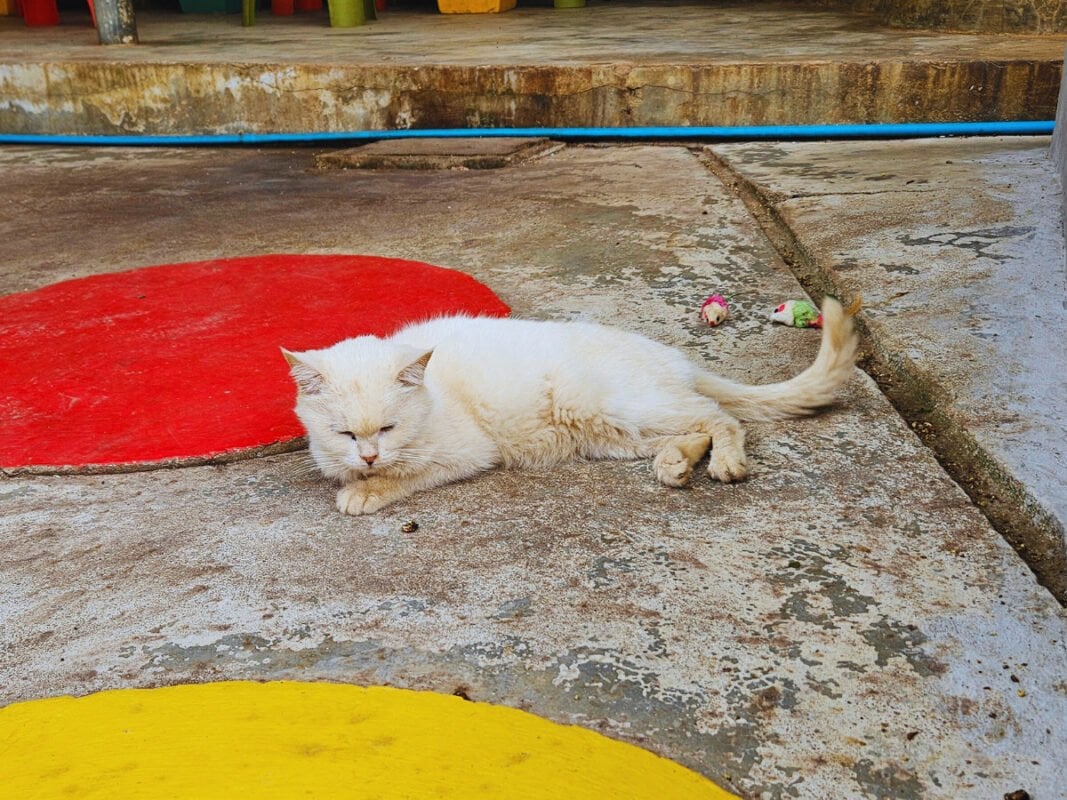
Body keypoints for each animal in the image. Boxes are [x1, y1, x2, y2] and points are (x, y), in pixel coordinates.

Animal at [281, 298, 857, 516]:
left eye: (388, 427)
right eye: (345, 434)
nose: (369, 456)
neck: (435, 392)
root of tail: (675, 357)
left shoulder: (468, 452)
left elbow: (406, 474)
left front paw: (366, 490)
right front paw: (357, 477)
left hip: (607, 406)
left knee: (721, 417)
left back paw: (727, 463)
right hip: (610, 432)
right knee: (695, 422)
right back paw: (675, 463)